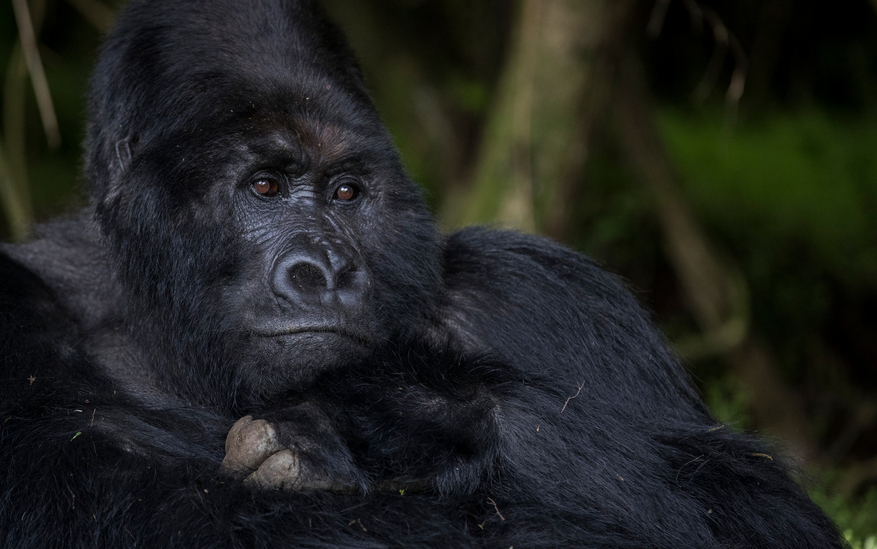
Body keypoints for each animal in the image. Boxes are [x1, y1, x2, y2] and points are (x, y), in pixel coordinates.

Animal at [1, 1, 840, 548]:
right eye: (263, 186)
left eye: (346, 192)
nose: (327, 268)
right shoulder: (19, 311)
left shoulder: (536, 292)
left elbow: (749, 504)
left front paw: (393, 416)